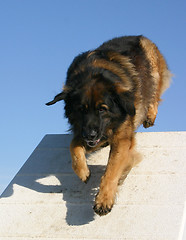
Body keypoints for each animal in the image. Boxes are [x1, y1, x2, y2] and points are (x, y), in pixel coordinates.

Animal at [45, 35, 171, 216]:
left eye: (102, 109)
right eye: (81, 110)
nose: (90, 135)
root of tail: (137, 35)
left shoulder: (121, 138)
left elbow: (111, 169)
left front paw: (104, 199)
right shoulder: (89, 134)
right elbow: (73, 145)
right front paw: (83, 171)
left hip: (152, 68)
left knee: (154, 92)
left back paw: (150, 114)